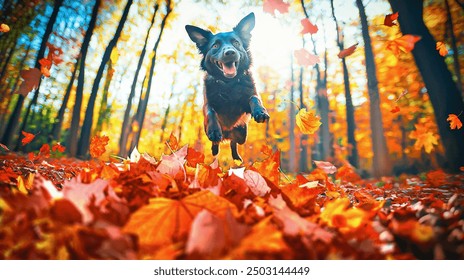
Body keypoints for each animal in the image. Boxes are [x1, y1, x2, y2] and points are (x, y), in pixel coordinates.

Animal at [185, 13, 270, 162]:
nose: (230, 52)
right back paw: (215, 149)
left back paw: (236, 157)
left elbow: (254, 98)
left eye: (236, 43)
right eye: (215, 45)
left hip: (242, 134)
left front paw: (260, 111)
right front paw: (214, 131)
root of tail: (227, 133)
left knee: (234, 142)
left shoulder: (246, 103)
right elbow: (210, 111)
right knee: (217, 141)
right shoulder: (207, 103)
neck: (229, 84)